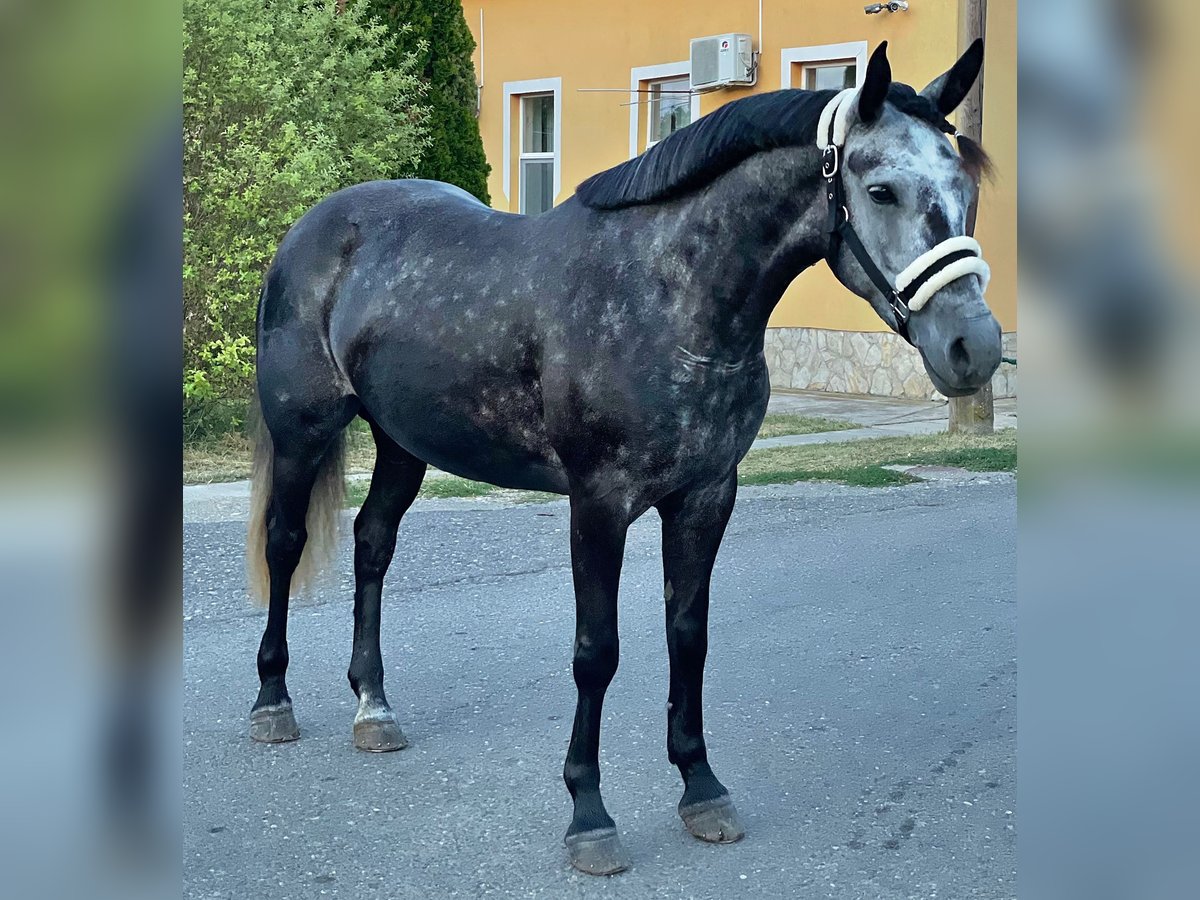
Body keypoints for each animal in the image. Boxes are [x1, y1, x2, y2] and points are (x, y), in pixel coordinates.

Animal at [246, 42, 1003, 873]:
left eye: (965, 186)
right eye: (881, 189)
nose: (973, 346)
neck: (667, 296)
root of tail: (313, 228)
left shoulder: (706, 497)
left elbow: (688, 637)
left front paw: (701, 789)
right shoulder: (598, 505)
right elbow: (596, 652)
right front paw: (589, 815)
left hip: (402, 443)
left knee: (373, 543)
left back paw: (373, 708)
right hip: (303, 430)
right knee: (285, 543)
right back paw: (273, 702)